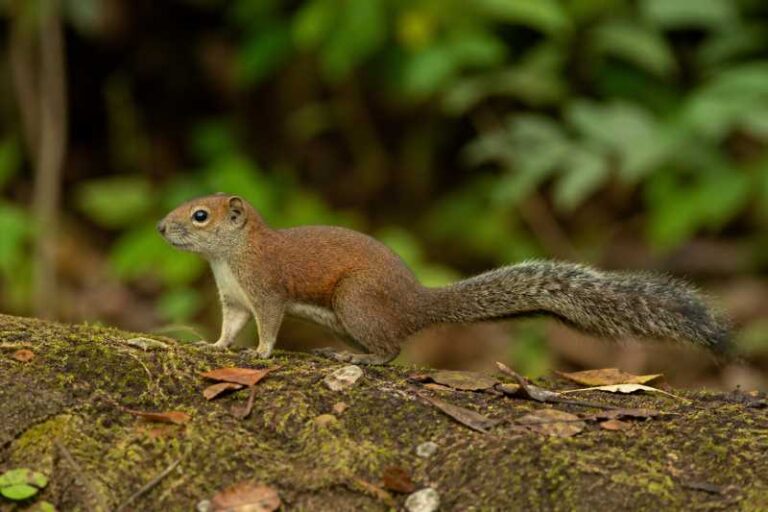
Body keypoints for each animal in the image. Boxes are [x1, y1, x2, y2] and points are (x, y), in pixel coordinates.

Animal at [157, 194, 730, 365]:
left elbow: (270, 324)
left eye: (200, 216)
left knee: (392, 350)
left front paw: (260, 354)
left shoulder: (266, 288)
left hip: (356, 303)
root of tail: (416, 304)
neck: (231, 257)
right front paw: (215, 346)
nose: (161, 227)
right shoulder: (234, 298)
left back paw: (359, 359)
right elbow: (229, 326)